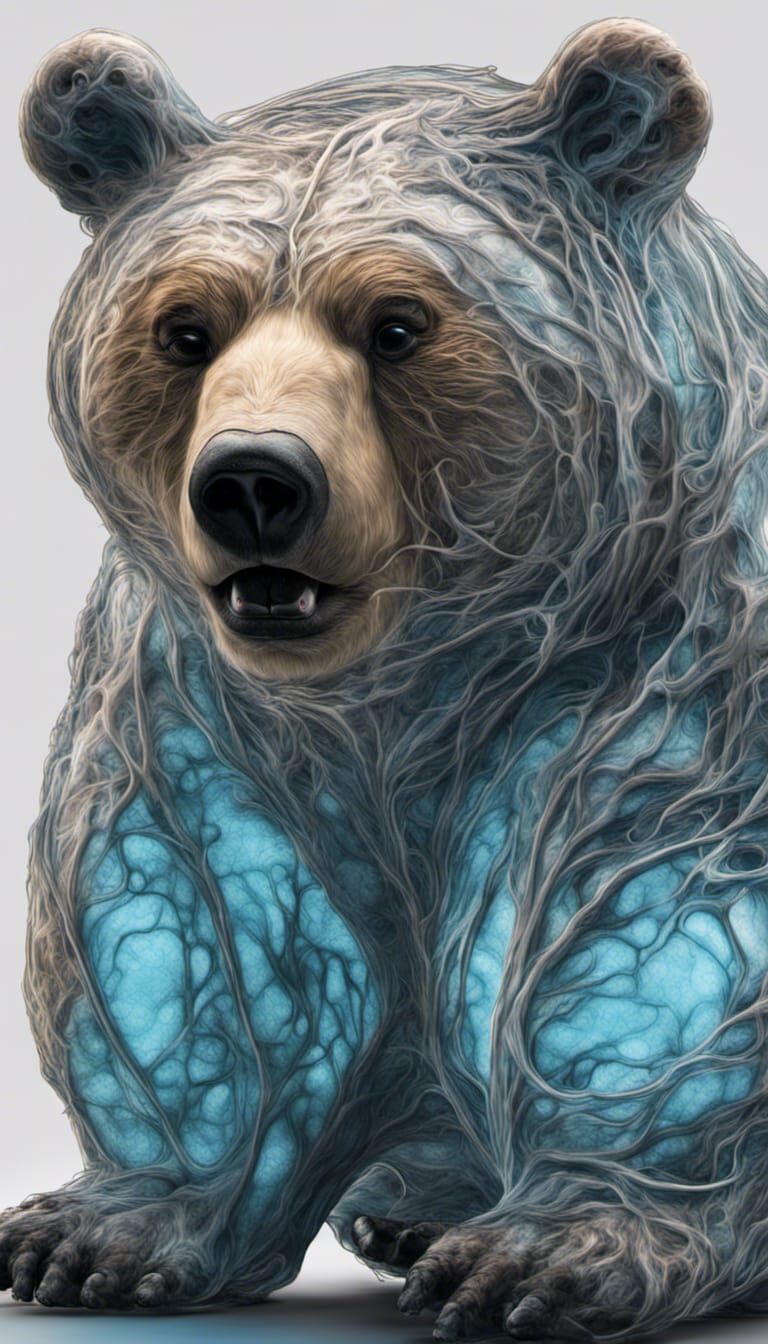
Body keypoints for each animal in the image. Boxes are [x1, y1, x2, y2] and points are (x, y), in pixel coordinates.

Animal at [3, 15, 768, 1340]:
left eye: (399, 322)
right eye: (184, 326)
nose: (255, 479)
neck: (414, 684)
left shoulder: (667, 656)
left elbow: (650, 913)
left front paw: (547, 1248)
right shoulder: (201, 703)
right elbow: (197, 923)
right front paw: (99, 1229)